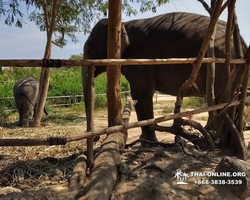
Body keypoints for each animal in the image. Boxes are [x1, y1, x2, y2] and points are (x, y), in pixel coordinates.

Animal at [81, 11, 244, 142]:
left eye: (91, 49)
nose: (96, 138)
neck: (124, 24)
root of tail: (242, 42)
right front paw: (145, 139)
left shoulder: (140, 59)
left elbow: (141, 94)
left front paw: (148, 141)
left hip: (223, 64)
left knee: (220, 100)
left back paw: (215, 138)